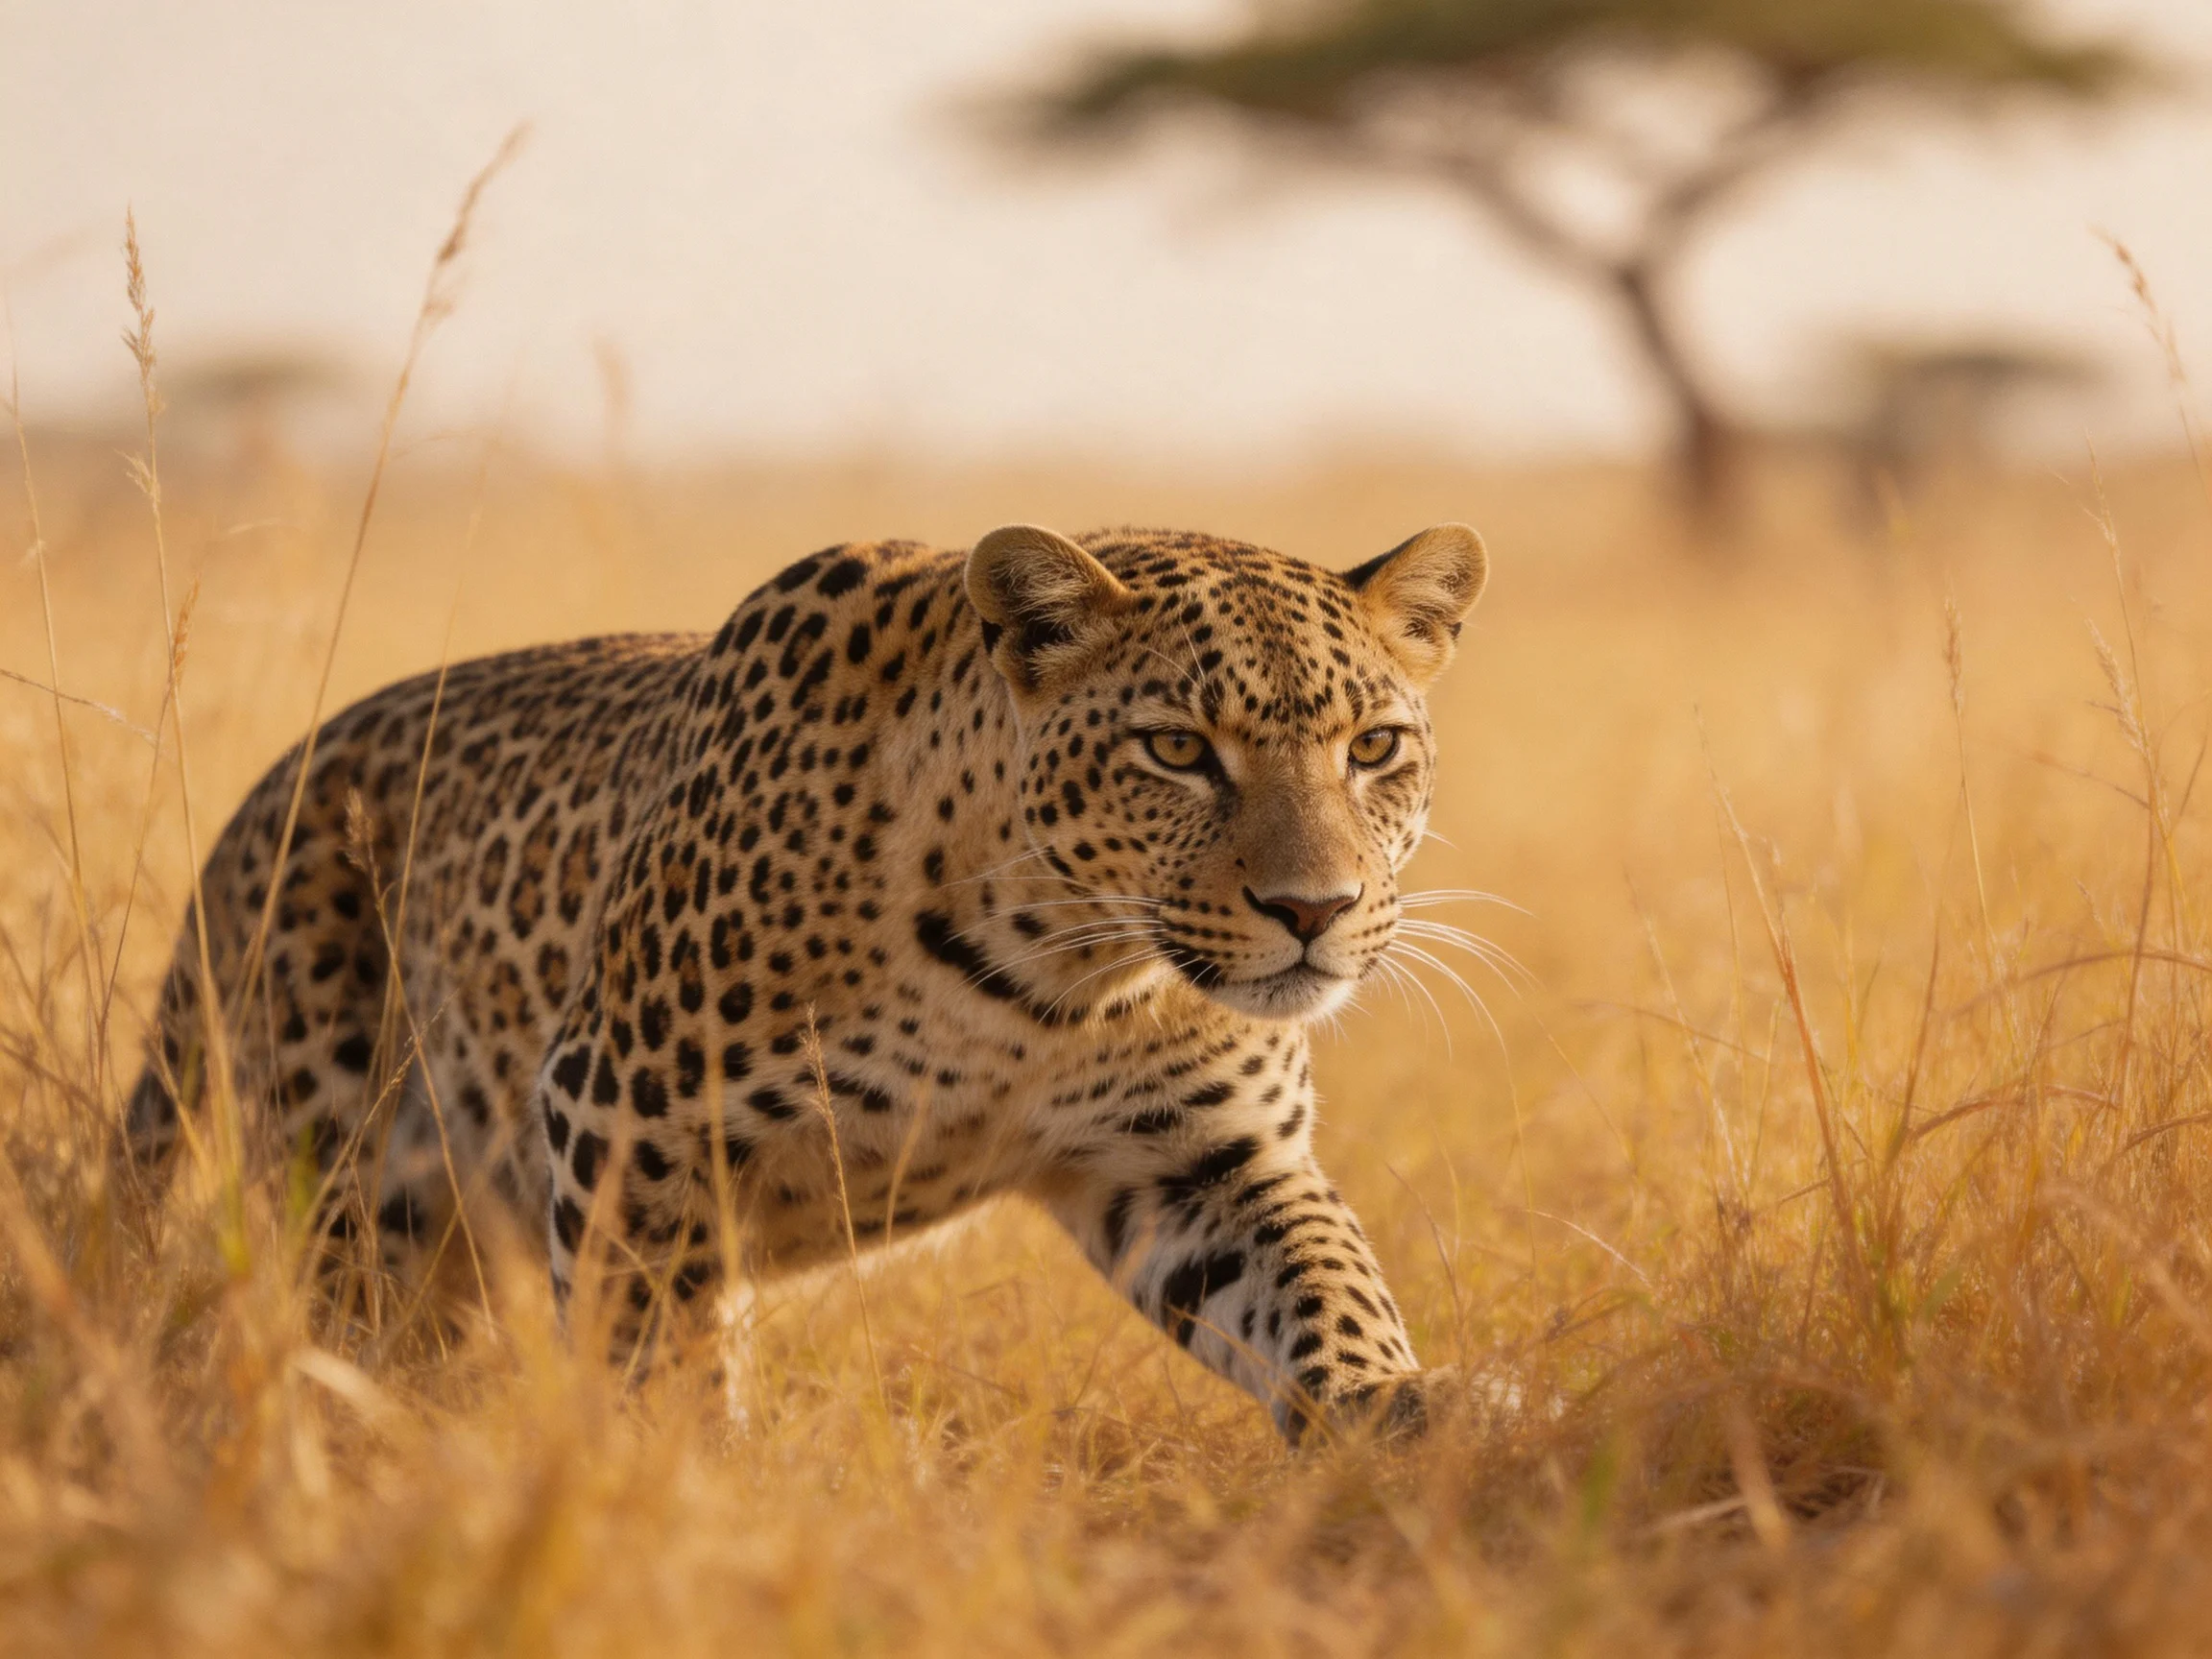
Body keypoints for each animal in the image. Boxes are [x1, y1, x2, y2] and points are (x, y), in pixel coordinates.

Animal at [126, 521, 1490, 1441]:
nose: (1314, 911)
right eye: (1175, 750)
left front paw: (1400, 1410)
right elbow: (651, 1341)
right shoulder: (626, 1114)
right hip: (357, 1177)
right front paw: (673, 1487)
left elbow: (1324, 1290)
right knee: (348, 1331)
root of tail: (263, 794)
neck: (1048, 979)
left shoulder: (1204, 1162)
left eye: (1375, 748)